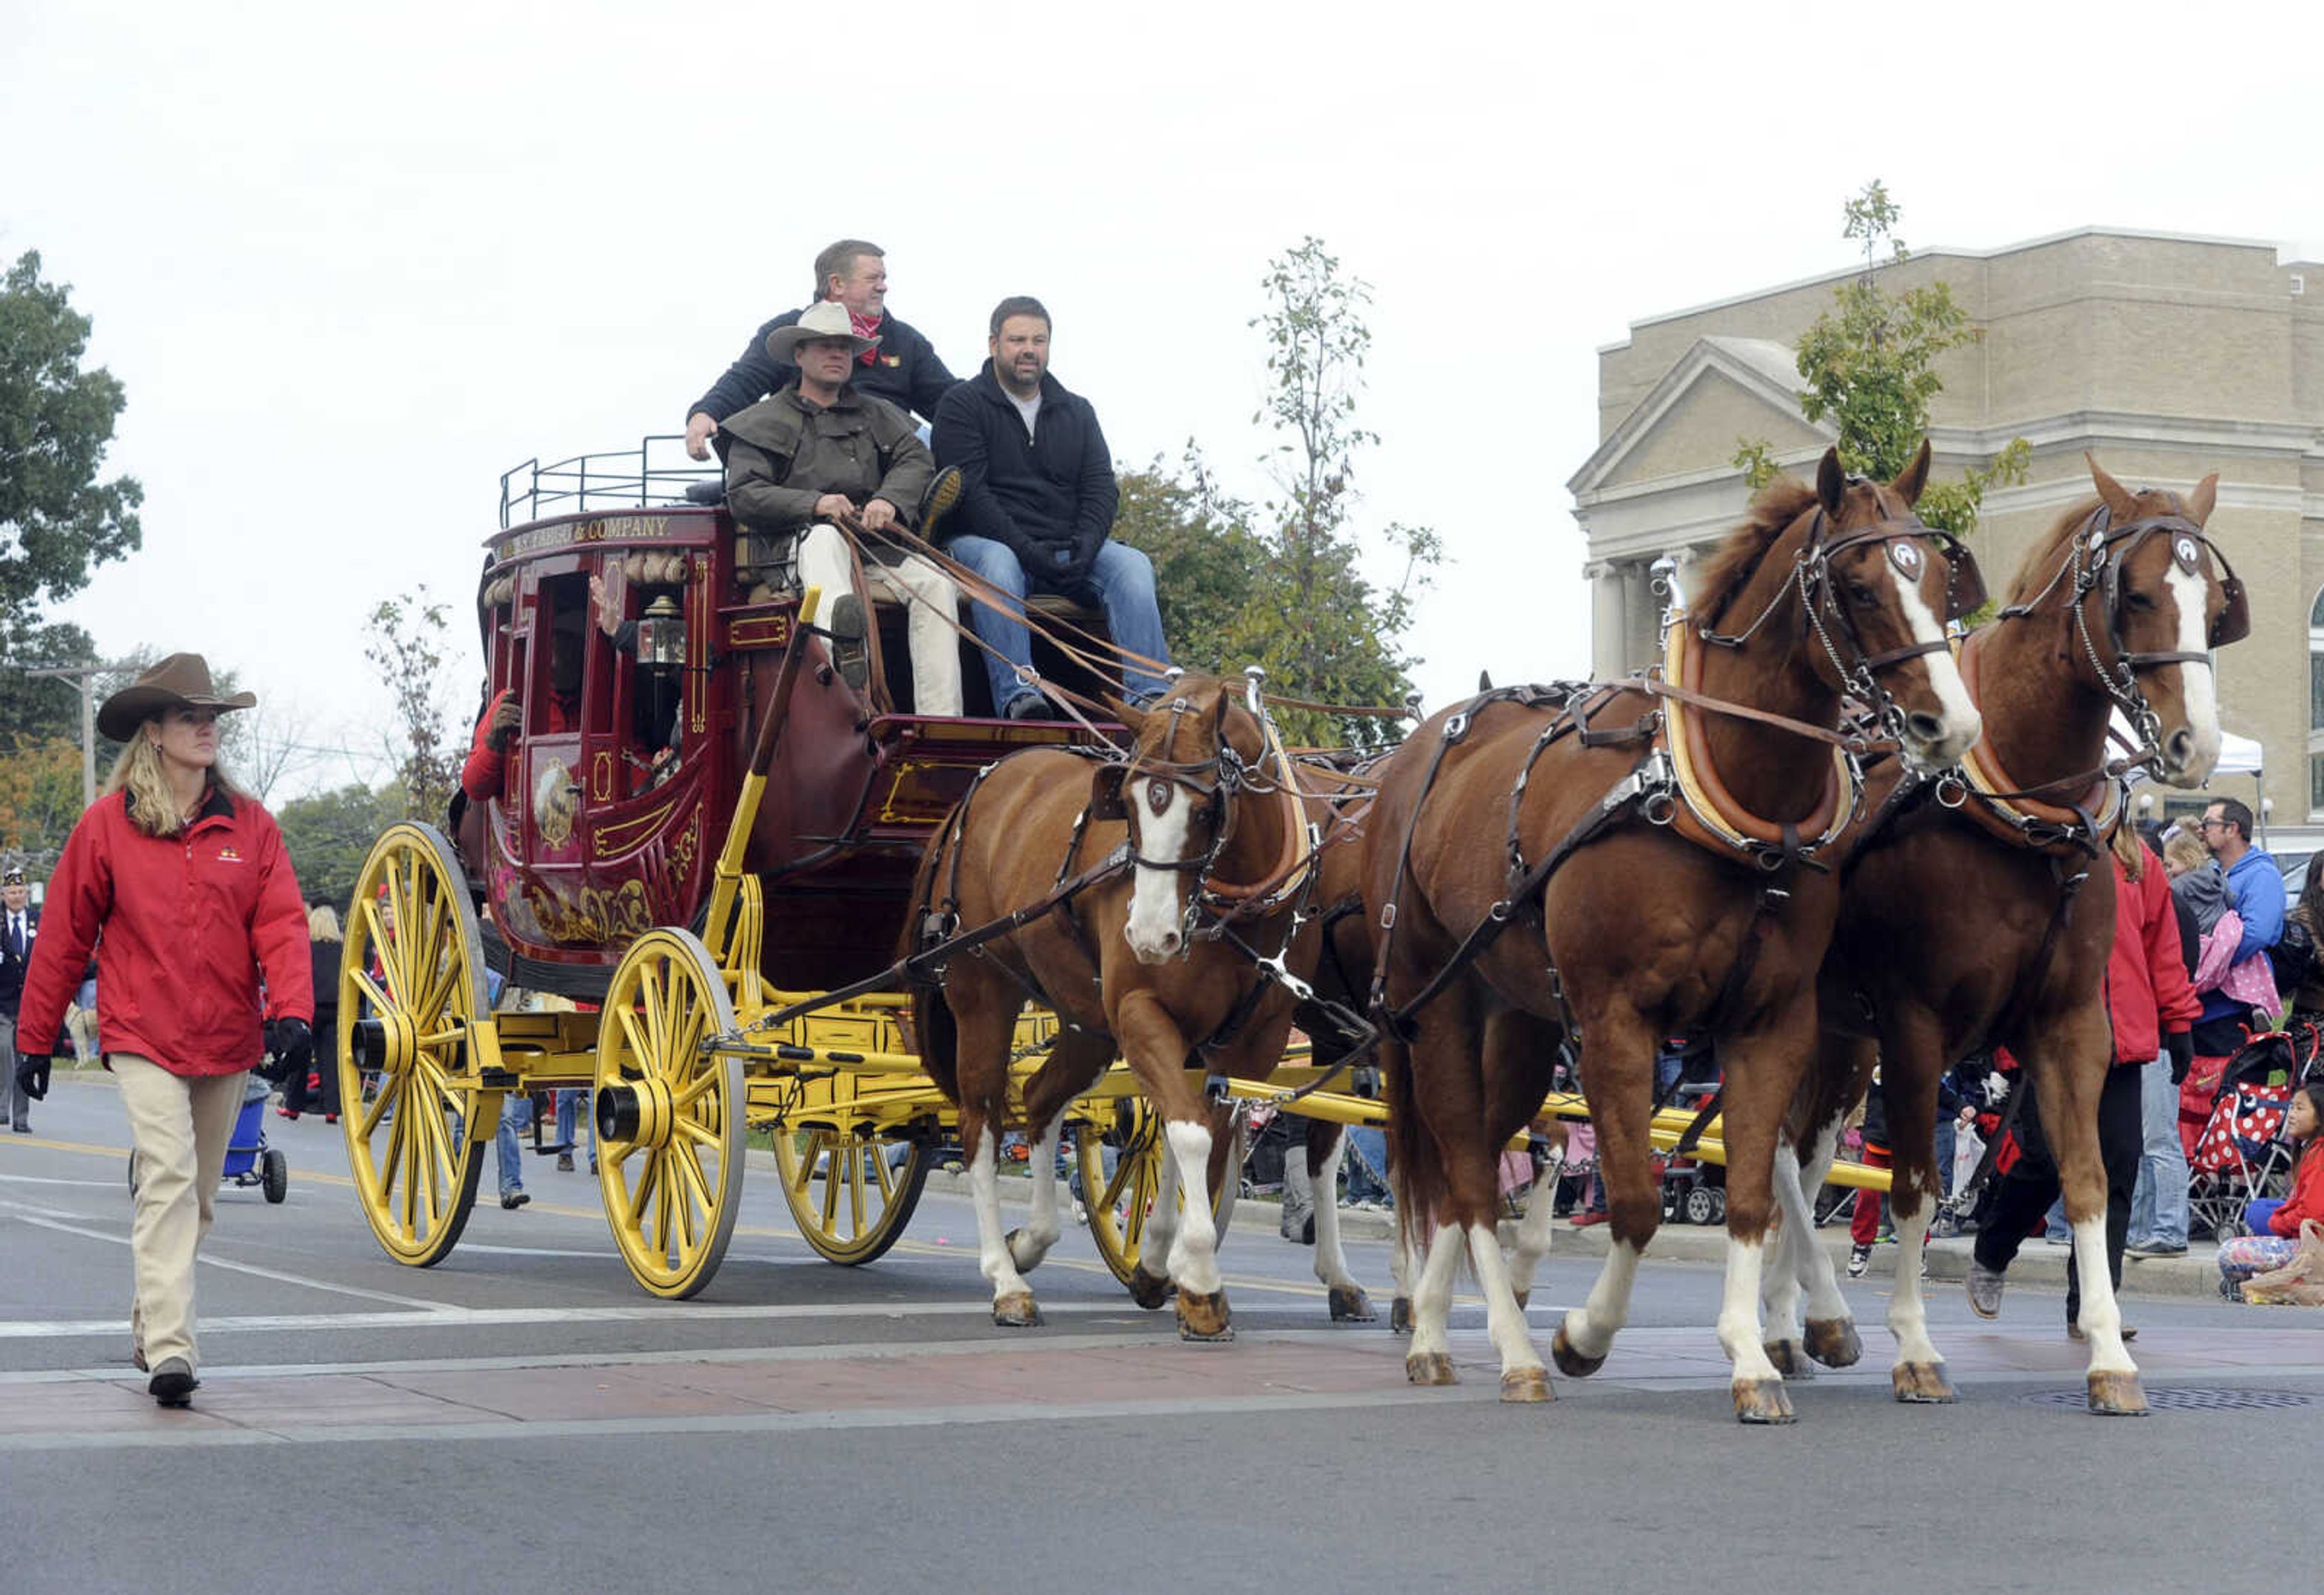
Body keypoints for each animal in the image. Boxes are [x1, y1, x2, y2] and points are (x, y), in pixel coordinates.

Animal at [911, 674, 1329, 1339]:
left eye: (1207, 810)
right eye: (1128, 807)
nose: (1149, 937)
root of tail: (986, 782)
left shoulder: (1250, 1046)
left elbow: (1210, 1145)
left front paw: (1167, 1269)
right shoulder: (1140, 1016)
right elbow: (1189, 1136)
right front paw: (1197, 1277)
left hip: (1086, 1024)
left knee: (1040, 1099)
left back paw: (1033, 1239)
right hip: (984, 992)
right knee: (980, 1123)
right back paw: (1006, 1280)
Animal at [1366, 451, 1989, 1422]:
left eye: (1938, 574)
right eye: (1857, 584)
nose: (1950, 725)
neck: (1720, 801)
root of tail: (1424, 744)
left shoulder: (1771, 1023)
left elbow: (1748, 1197)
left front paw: (1752, 1359)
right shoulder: (1616, 1022)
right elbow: (1632, 1201)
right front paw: (1583, 1335)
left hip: (1522, 1021)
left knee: (1480, 1156)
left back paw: (1433, 1324)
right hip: (1435, 1005)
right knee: (1464, 1170)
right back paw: (1508, 1349)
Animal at [1757, 455, 2250, 1422]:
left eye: (2215, 604)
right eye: (2136, 594)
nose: (2195, 742)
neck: (2021, 809)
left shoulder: (2073, 1023)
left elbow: (2089, 1181)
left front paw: (2109, 1355)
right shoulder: (1916, 1025)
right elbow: (1916, 1186)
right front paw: (1916, 1348)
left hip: (1842, 1036)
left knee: (1804, 1152)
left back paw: (1791, 1326)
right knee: (1780, 1159)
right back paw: (1816, 1318)